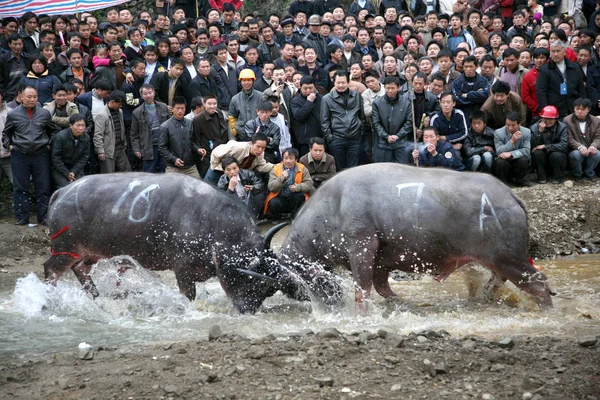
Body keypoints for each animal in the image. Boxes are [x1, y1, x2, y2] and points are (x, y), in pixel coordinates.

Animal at [42, 173, 286, 314]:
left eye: (268, 289)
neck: (214, 226)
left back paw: (96, 298)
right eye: (253, 281)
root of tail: (61, 192)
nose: (248, 310)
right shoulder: (183, 270)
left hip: (90, 253)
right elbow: (188, 296)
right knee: (51, 270)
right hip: (65, 250)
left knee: (81, 271)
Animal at [270, 162, 556, 310]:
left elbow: (363, 289)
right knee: (498, 281)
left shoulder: (362, 247)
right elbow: (383, 288)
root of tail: (510, 195)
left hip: (509, 259)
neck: (333, 205)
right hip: (499, 261)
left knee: (539, 283)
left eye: (291, 279)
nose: (331, 301)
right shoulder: (380, 263)